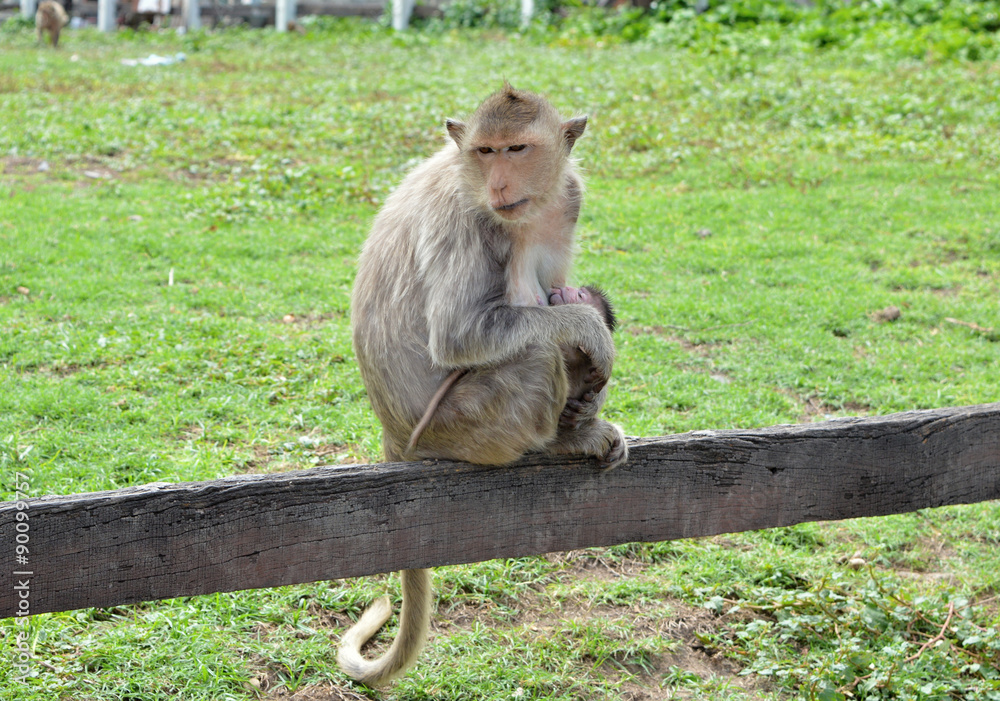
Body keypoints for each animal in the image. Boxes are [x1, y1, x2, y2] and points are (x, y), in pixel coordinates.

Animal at [342, 84, 628, 686]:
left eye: (517, 149)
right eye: (485, 151)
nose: (498, 185)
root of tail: (394, 437)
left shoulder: (568, 199)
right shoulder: (469, 217)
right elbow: (459, 332)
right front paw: (589, 328)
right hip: (465, 427)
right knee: (535, 349)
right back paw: (562, 439)